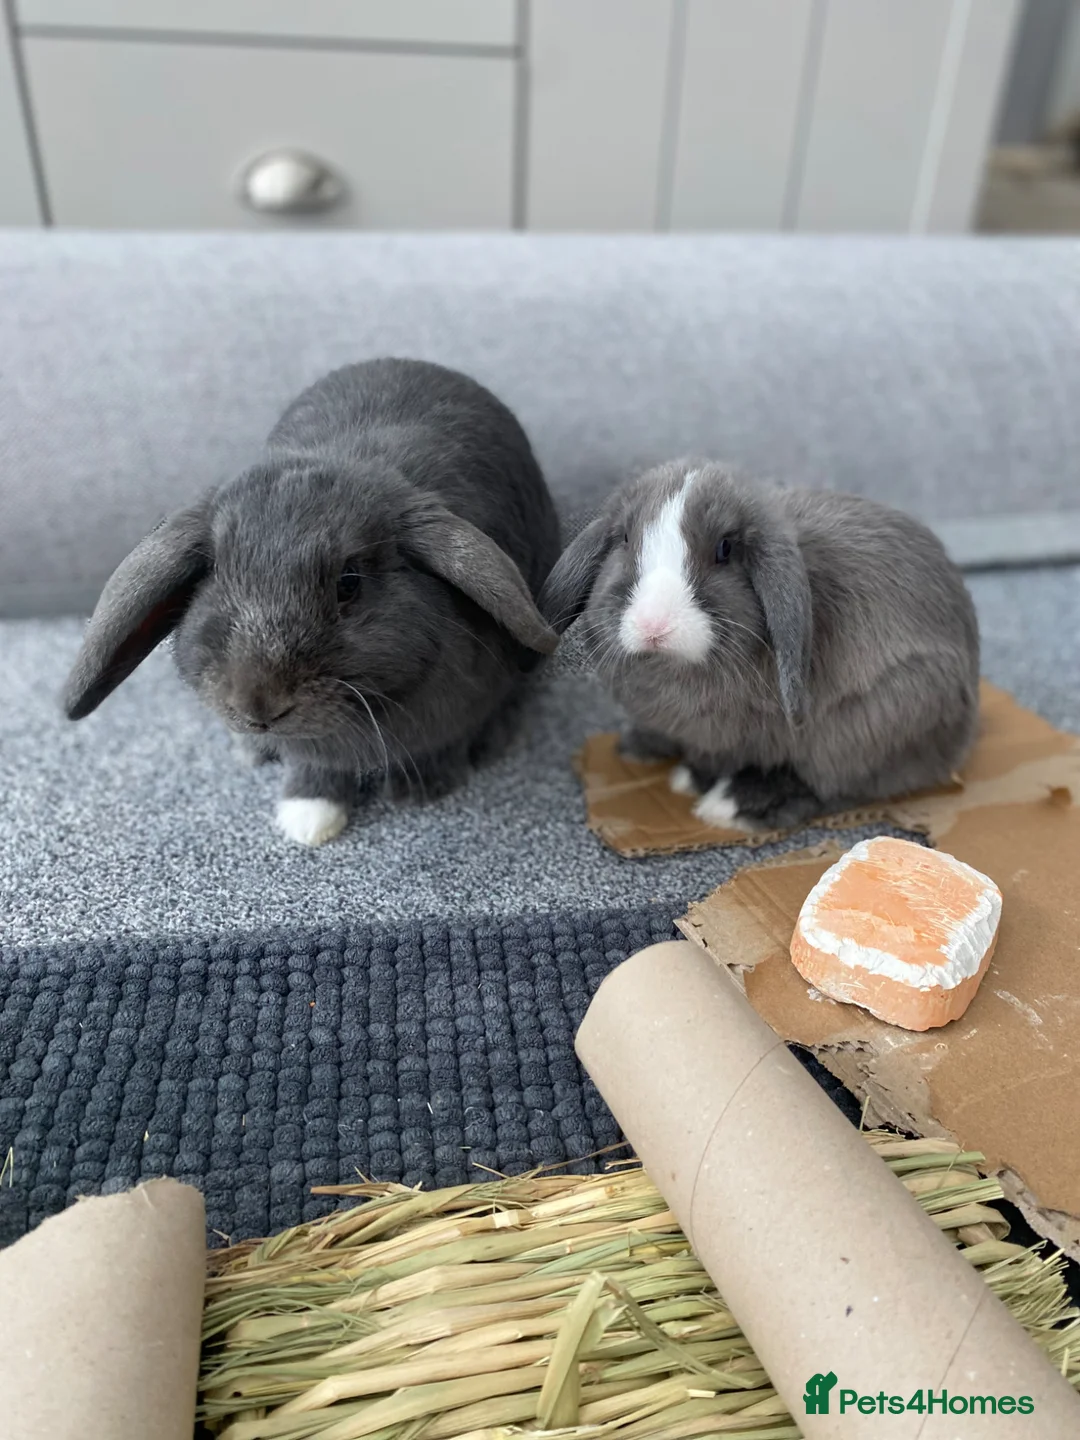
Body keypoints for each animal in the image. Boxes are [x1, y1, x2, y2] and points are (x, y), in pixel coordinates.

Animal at [63, 358, 561, 845]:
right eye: (213, 574)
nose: (258, 705)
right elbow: (313, 768)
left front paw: (420, 791)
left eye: (349, 582)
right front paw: (308, 818)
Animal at [540, 460, 980, 833]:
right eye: (625, 539)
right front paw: (685, 773)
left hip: (879, 720)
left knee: (836, 786)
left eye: (724, 549)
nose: (654, 625)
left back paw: (737, 804)